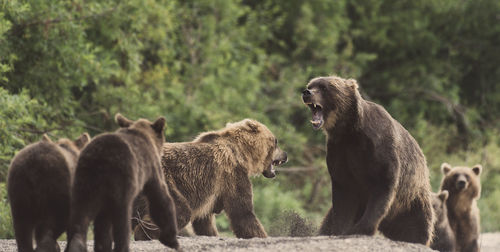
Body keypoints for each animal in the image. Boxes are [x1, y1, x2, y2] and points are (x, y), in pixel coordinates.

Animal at [64, 114, 178, 252]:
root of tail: (99, 158)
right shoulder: (152, 167)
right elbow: (160, 196)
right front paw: (171, 240)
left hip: (83, 182)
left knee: (80, 216)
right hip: (120, 181)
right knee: (121, 219)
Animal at [133, 119, 290, 239]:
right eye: (276, 141)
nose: (286, 155)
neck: (242, 154)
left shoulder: (212, 190)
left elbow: (205, 221)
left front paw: (212, 233)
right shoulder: (232, 173)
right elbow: (242, 212)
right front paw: (260, 234)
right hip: (166, 179)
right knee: (180, 210)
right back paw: (144, 234)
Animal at [300, 76, 434, 245]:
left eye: (324, 87)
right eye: (311, 84)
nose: (306, 92)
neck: (349, 130)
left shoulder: (378, 146)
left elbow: (383, 185)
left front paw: (360, 228)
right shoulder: (339, 150)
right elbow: (344, 194)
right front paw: (341, 229)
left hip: (412, 202)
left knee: (417, 226)